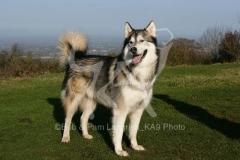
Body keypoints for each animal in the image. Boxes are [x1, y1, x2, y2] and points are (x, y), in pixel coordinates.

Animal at [57, 21, 160, 156]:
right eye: (130, 42)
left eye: (142, 40)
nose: (133, 49)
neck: (138, 74)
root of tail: (75, 60)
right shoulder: (120, 110)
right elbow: (119, 133)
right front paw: (119, 151)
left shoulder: (138, 110)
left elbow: (133, 131)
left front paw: (134, 146)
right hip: (73, 100)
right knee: (68, 119)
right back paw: (65, 137)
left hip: (91, 102)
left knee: (83, 118)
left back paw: (86, 135)